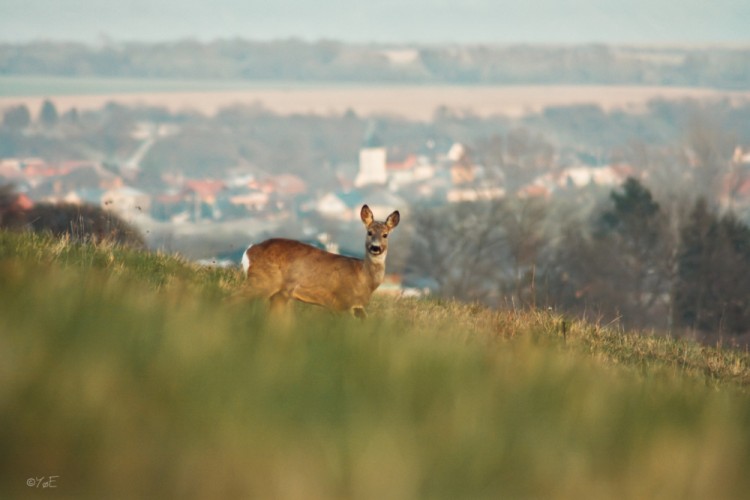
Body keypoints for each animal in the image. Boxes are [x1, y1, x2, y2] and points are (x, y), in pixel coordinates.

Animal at [244, 205, 402, 318]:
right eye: (369, 232)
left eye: (385, 235)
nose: (375, 247)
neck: (364, 278)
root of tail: (250, 250)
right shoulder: (339, 302)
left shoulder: (357, 307)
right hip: (264, 281)